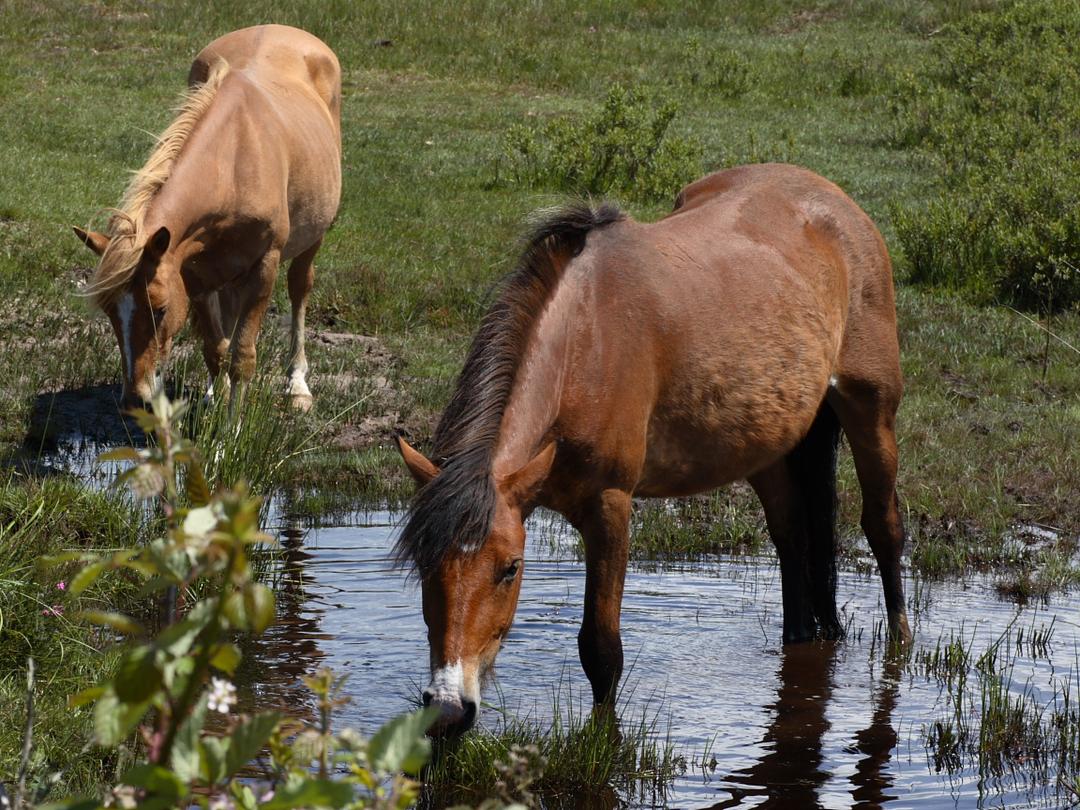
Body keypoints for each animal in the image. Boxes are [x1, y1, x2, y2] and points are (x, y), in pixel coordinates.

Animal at [75, 26, 341, 412]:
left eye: (160, 308)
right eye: (109, 310)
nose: (135, 399)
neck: (233, 162)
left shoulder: (264, 266)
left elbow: (242, 357)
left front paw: (232, 425)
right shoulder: (191, 273)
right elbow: (215, 349)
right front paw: (216, 404)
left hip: (312, 239)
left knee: (299, 289)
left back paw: (297, 384)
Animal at [397, 162, 911, 738]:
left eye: (510, 568)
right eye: (423, 562)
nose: (447, 707)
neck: (585, 343)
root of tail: (836, 204)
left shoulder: (610, 505)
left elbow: (600, 650)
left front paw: (604, 743)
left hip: (870, 409)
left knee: (883, 528)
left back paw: (901, 643)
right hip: (766, 444)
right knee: (794, 538)